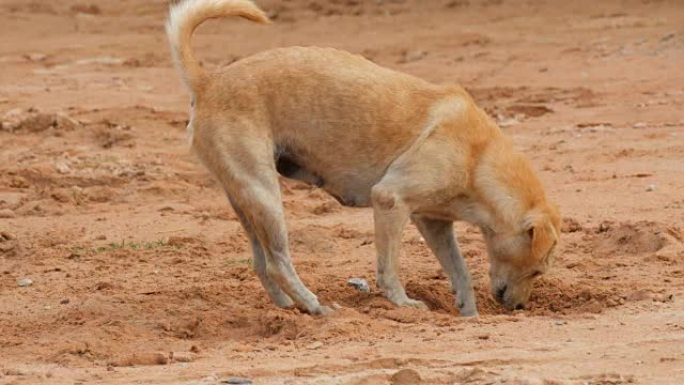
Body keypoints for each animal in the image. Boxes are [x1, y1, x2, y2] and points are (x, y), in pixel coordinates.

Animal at [166, 0, 560, 316]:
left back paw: (288, 308)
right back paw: (315, 306)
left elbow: (459, 270)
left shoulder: (433, 222)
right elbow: (389, 268)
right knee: (278, 263)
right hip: (264, 196)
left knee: (261, 264)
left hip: (247, 202)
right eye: (537, 270)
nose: (519, 308)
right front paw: (403, 304)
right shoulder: (389, 201)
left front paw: (468, 311)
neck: (478, 157)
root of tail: (208, 81)